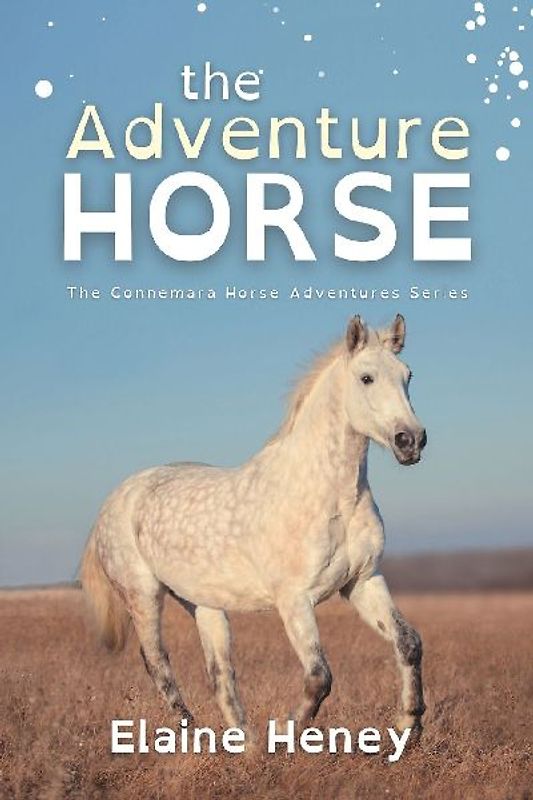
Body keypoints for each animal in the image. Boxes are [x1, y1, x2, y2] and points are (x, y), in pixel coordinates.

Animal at [81, 314, 427, 734]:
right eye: (366, 378)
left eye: (408, 375)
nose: (411, 441)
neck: (332, 497)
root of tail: (115, 500)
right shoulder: (294, 599)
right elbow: (319, 677)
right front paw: (284, 736)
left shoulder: (362, 582)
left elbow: (408, 643)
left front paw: (409, 725)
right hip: (142, 596)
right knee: (158, 664)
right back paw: (192, 732)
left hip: (203, 604)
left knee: (219, 674)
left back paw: (240, 742)